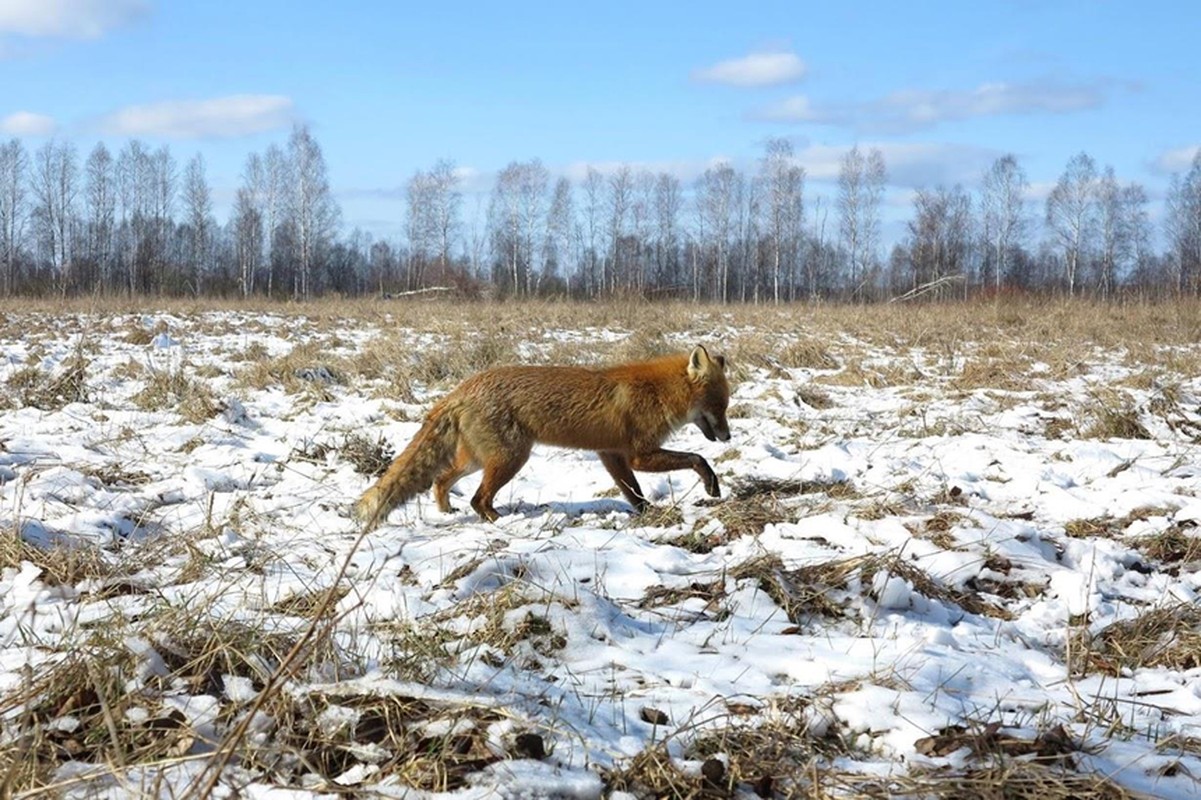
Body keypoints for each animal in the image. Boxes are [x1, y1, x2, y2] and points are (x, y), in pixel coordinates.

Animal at [350, 343, 730, 526]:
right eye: (720, 406)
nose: (728, 437)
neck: (658, 392)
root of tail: (462, 389)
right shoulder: (639, 453)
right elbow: (697, 458)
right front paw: (711, 485)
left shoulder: (611, 454)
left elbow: (632, 491)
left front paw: (646, 512)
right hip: (510, 459)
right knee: (477, 500)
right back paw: (502, 522)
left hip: (478, 460)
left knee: (440, 480)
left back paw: (446, 512)